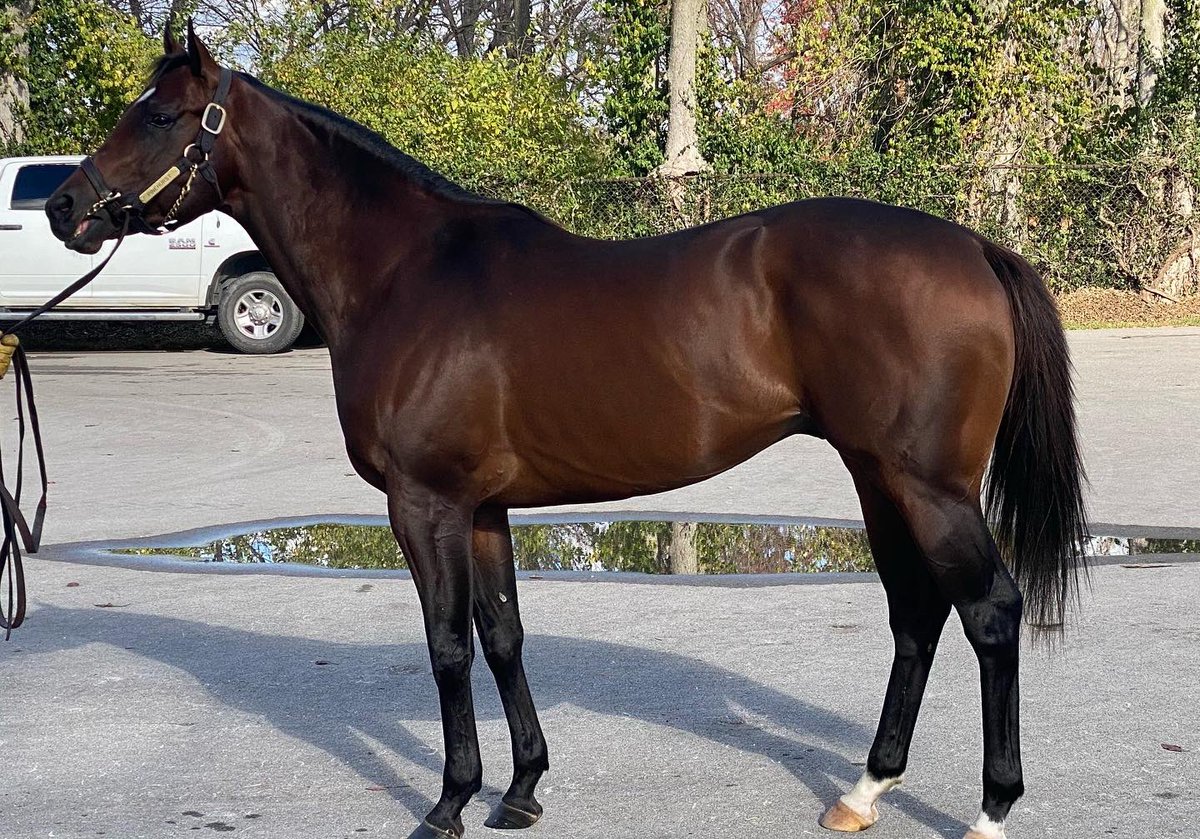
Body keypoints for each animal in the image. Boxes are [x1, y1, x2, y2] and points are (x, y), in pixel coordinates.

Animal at [45, 23, 1087, 839]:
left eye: (163, 117)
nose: (63, 207)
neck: (405, 273)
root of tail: (974, 247)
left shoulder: (424, 502)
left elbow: (448, 645)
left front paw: (449, 802)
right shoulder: (482, 508)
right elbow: (504, 634)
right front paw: (521, 790)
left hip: (928, 486)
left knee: (990, 613)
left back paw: (990, 807)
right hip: (879, 478)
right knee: (916, 614)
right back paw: (863, 790)